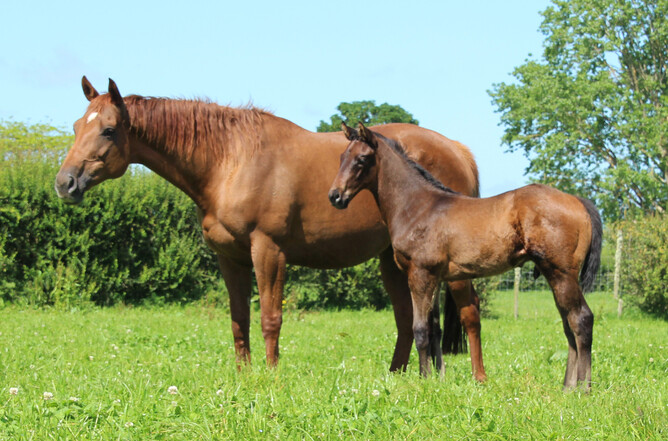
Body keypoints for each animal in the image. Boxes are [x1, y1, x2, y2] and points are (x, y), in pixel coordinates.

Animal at [55, 77, 487, 380]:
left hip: (450, 268)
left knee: (468, 315)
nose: (65, 183)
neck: (231, 161)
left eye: (108, 130)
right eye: (76, 126)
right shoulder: (230, 259)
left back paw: (477, 379)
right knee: (409, 321)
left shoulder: (269, 251)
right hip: (394, 263)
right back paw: (398, 378)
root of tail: (458, 149)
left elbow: (270, 318)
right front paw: (244, 375)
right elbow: (239, 320)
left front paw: (272, 376)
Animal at [329, 123, 602, 390]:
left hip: (561, 273)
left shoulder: (420, 274)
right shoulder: (436, 278)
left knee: (582, 319)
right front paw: (437, 377)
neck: (417, 206)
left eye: (362, 159)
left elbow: (420, 329)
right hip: (554, 275)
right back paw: (567, 387)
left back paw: (583, 388)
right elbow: (434, 328)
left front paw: (424, 380)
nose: (335, 196)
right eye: (341, 157)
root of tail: (578, 200)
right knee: (568, 323)